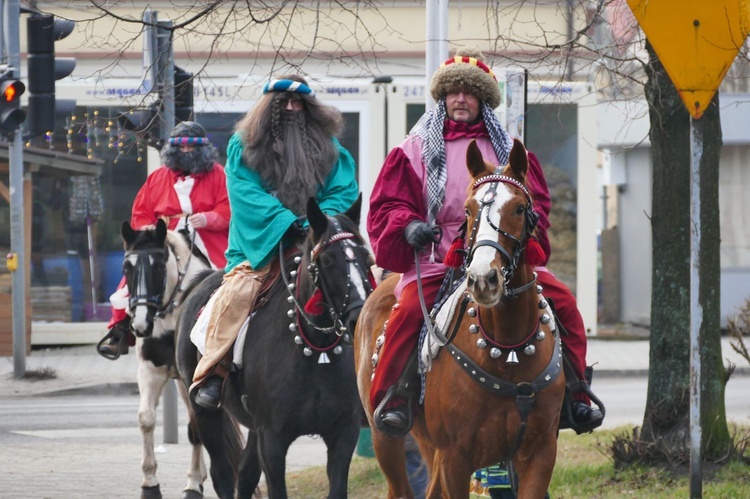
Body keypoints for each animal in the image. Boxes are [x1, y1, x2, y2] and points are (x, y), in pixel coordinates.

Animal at [120, 221, 225, 498]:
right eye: (126, 267)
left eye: (158, 266)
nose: (140, 325)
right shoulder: (150, 371)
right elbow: (146, 419)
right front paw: (150, 484)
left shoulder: (193, 380)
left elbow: (195, 430)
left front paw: (193, 484)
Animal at [177, 197, 376, 498]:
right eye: (327, 259)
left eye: (366, 258)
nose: (358, 317)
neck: (315, 352)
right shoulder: (272, 438)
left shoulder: (343, 434)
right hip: (204, 412)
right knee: (222, 474)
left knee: (246, 473)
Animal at [356, 139, 564, 498]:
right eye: (468, 210)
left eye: (519, 208)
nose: (483, 279)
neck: (507, 350)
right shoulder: (455, 457)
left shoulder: (540, 452)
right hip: (386, 439)